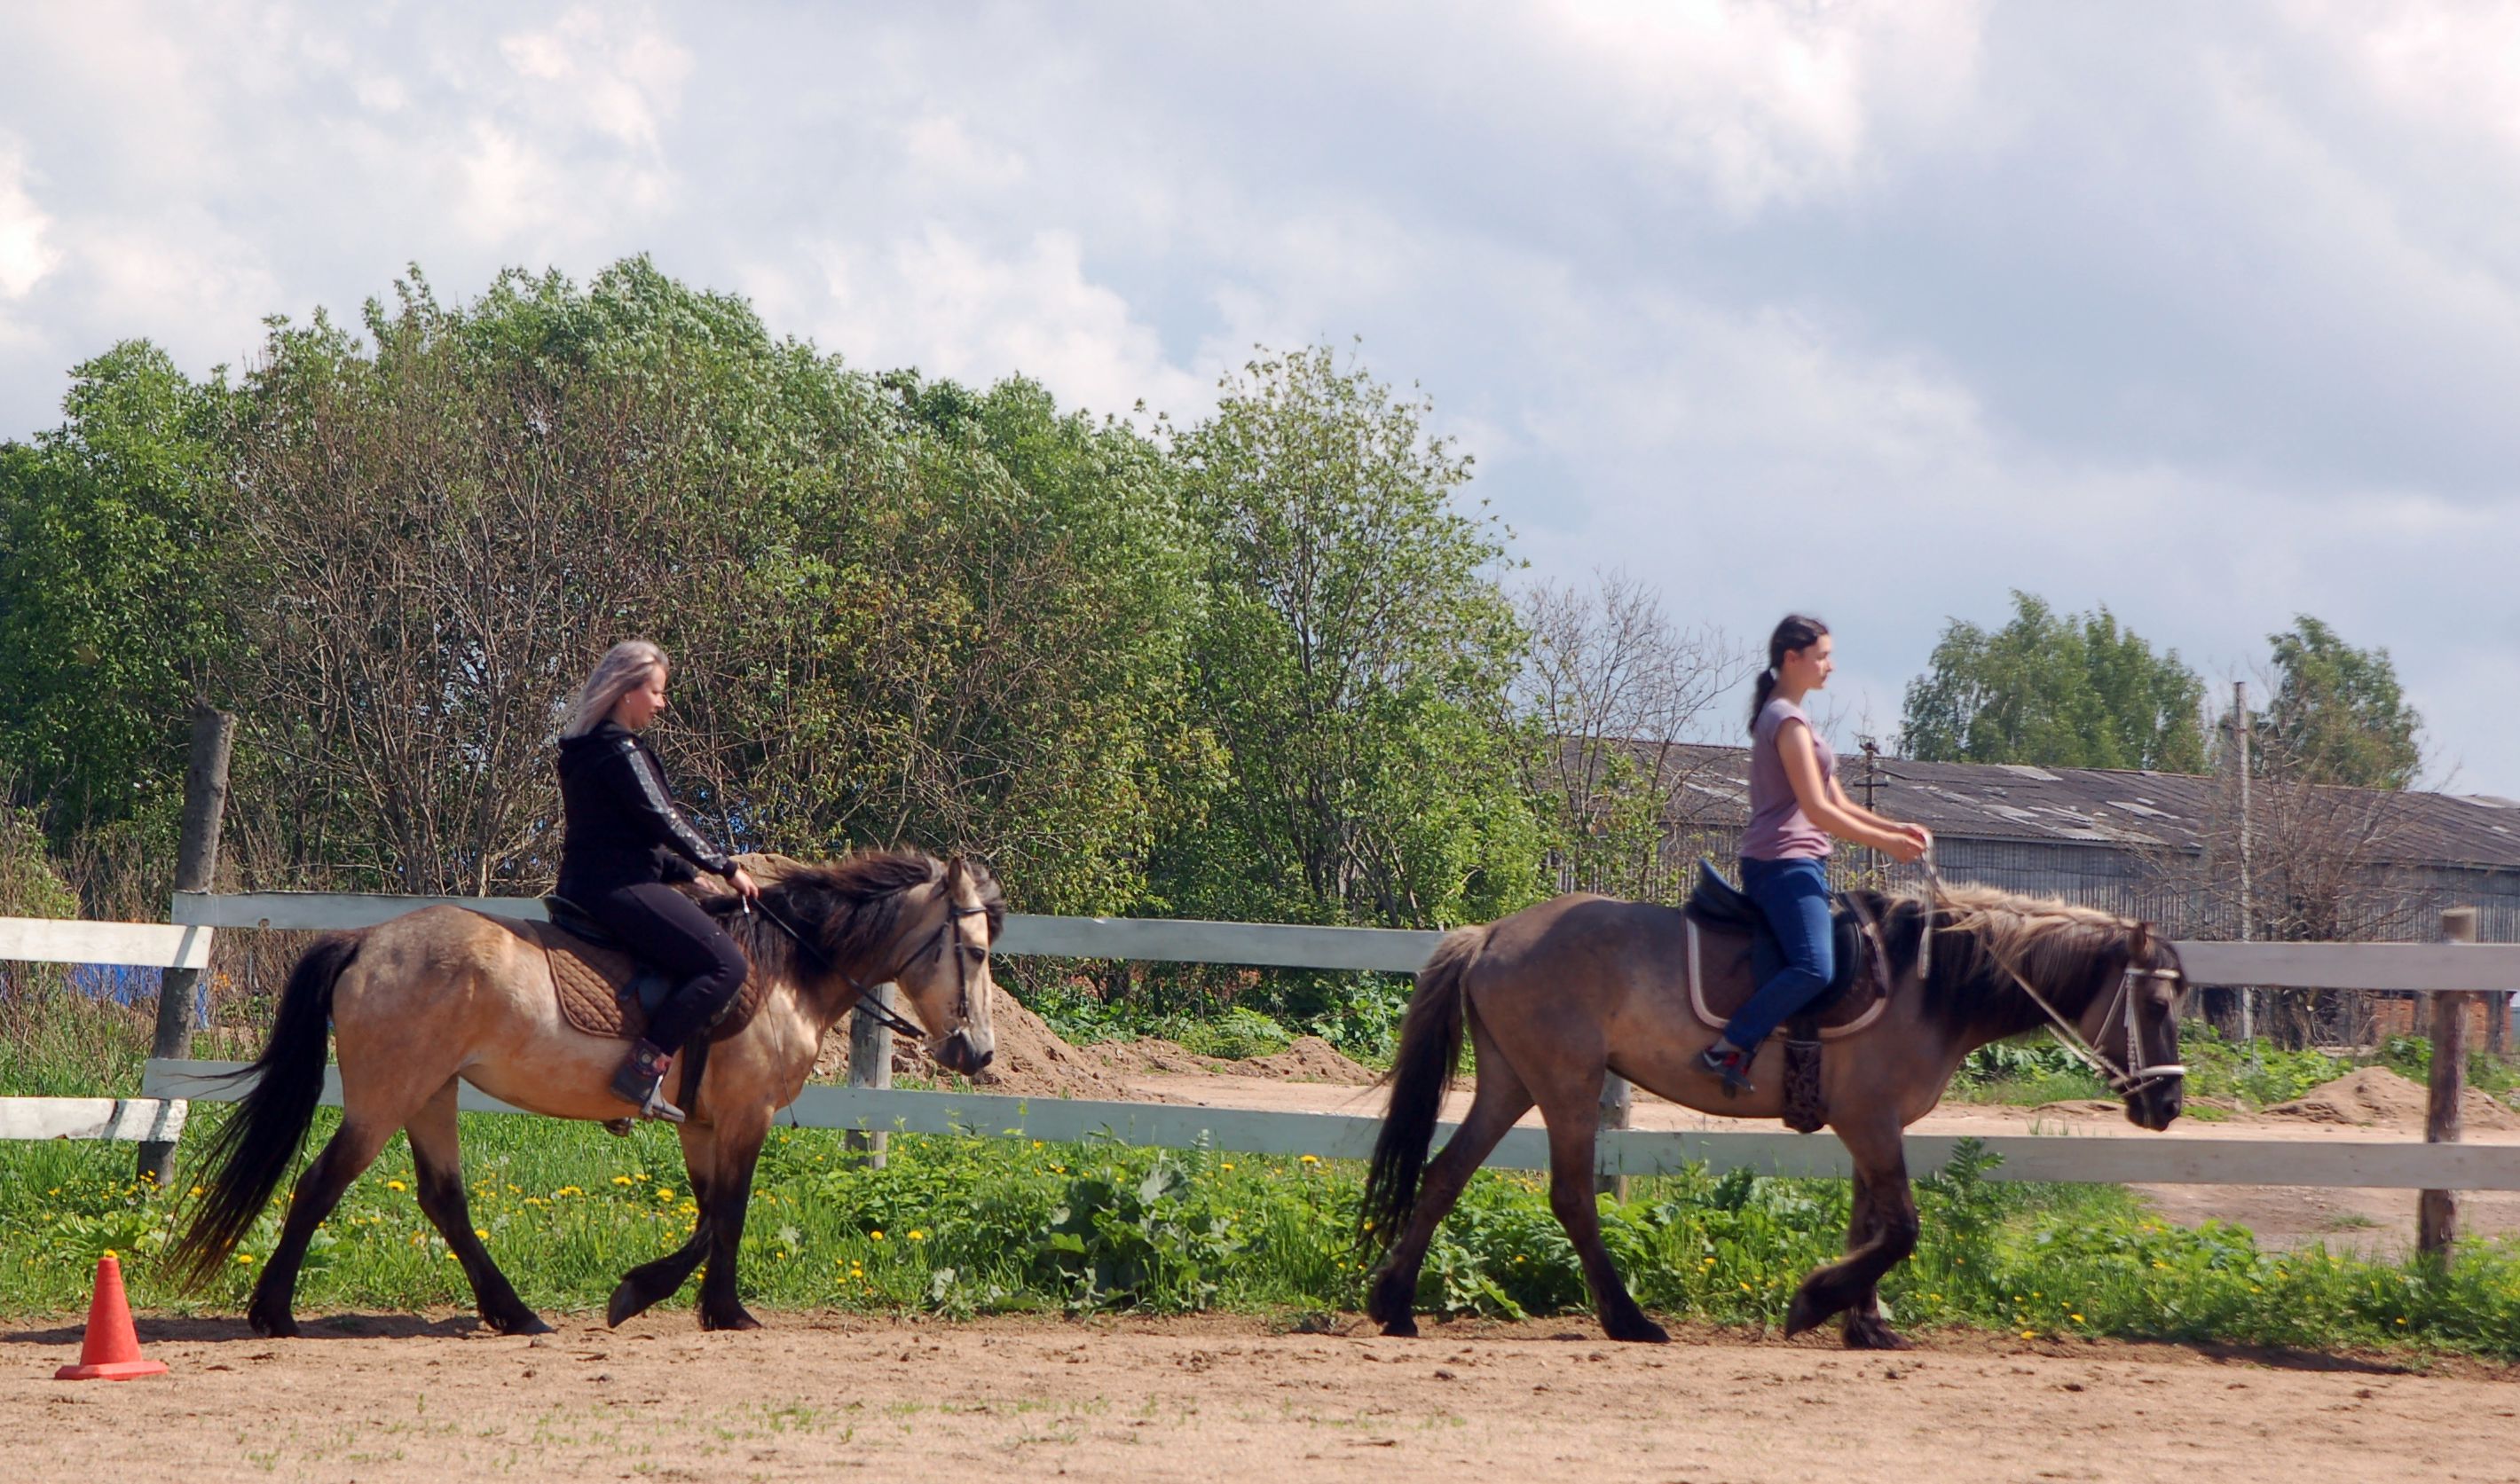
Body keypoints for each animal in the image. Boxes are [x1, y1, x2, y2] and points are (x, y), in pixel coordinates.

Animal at [166, 848, 1003, 1337]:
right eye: (973, 950)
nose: (979, 1052)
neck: (784, 968)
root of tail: (366, 939)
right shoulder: (744, 1115)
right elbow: (729, 1214)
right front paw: (705, 1306)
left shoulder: (702, 1123)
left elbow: (710, 1213)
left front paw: (670, 1297)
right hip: (387, 1096)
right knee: (319, 1184)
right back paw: (274, 1312)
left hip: (431, 1093)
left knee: (444, 1200)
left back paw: (513, 1312)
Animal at [1358, 880, 2189, 1349]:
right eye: (2155, 1003)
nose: (2170, 1103)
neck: (1926, 982)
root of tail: (1492, 933)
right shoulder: (1872, 1121)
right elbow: (1901, 1228)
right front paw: (1817, 1301)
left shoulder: (1871, 1126)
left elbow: (1870, 1223)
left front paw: (1865, 1321)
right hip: (1566, 1084)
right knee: (1570, 1198)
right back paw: (1627, 1317)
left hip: (1510, 1081)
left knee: (1444, 1174)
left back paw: (1394, 1304)